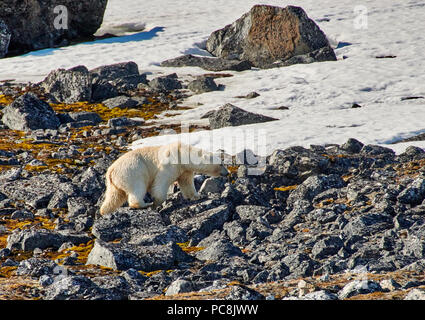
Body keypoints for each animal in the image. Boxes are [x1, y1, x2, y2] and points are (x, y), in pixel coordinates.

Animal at [99, 141, 229, 214]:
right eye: (221, 164)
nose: (227, 173)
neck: (182, 154)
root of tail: (111, 171)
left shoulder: (184, 170)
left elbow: (186, 183)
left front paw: (197, 196)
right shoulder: (169, 164)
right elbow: (161, 182)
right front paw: (156, 202)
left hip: (114, 183)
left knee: (114, 197)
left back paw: (104, 211)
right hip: (133, 171)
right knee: (138, 187)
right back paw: (145, 204)